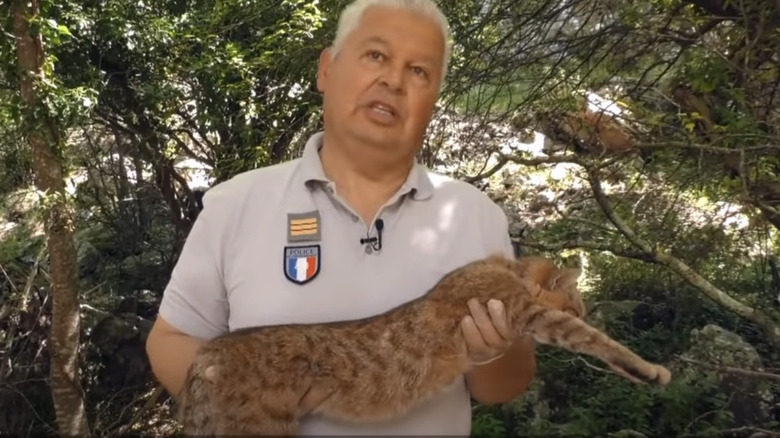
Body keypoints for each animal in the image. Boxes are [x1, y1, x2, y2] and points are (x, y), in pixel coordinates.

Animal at [177, 253, 672, 434]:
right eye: (578, 308)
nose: (587, 310)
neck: (508, 268)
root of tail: (205, 355)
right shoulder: (533, 315)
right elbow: (600, 343)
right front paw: (650, 368)